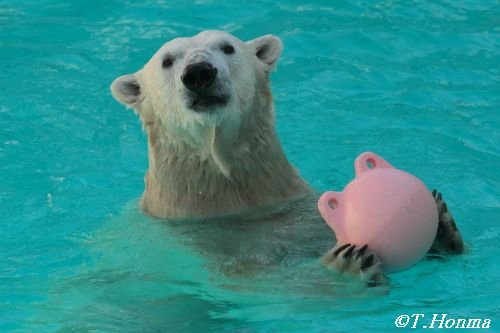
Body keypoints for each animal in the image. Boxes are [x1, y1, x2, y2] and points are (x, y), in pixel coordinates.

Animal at [111, 31, 462, 284]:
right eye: (167, 61)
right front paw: (346, 265)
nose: (199, 73)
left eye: (227, 47)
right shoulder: (196, 246)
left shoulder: (297, 213)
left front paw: (443, 225)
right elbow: (254, 283)